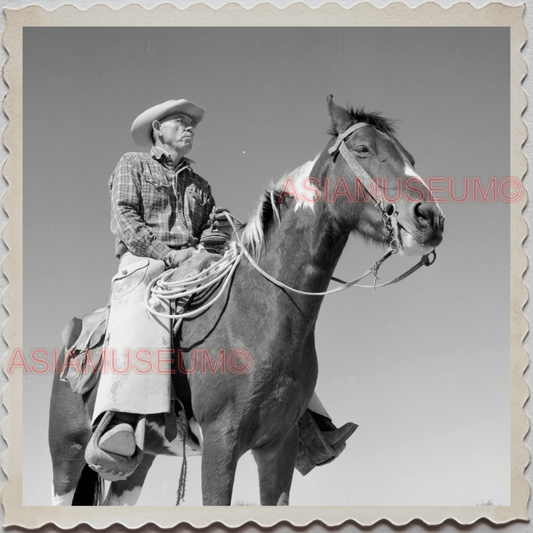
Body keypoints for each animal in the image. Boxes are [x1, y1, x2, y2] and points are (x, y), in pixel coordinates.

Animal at [47, 95, 444, 508]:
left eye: (409, 157)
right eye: (363, 148)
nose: (430, 217)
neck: (257, 315)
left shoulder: (278, 446)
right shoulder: (221, 442)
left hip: (137, 465)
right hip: (67, 457)